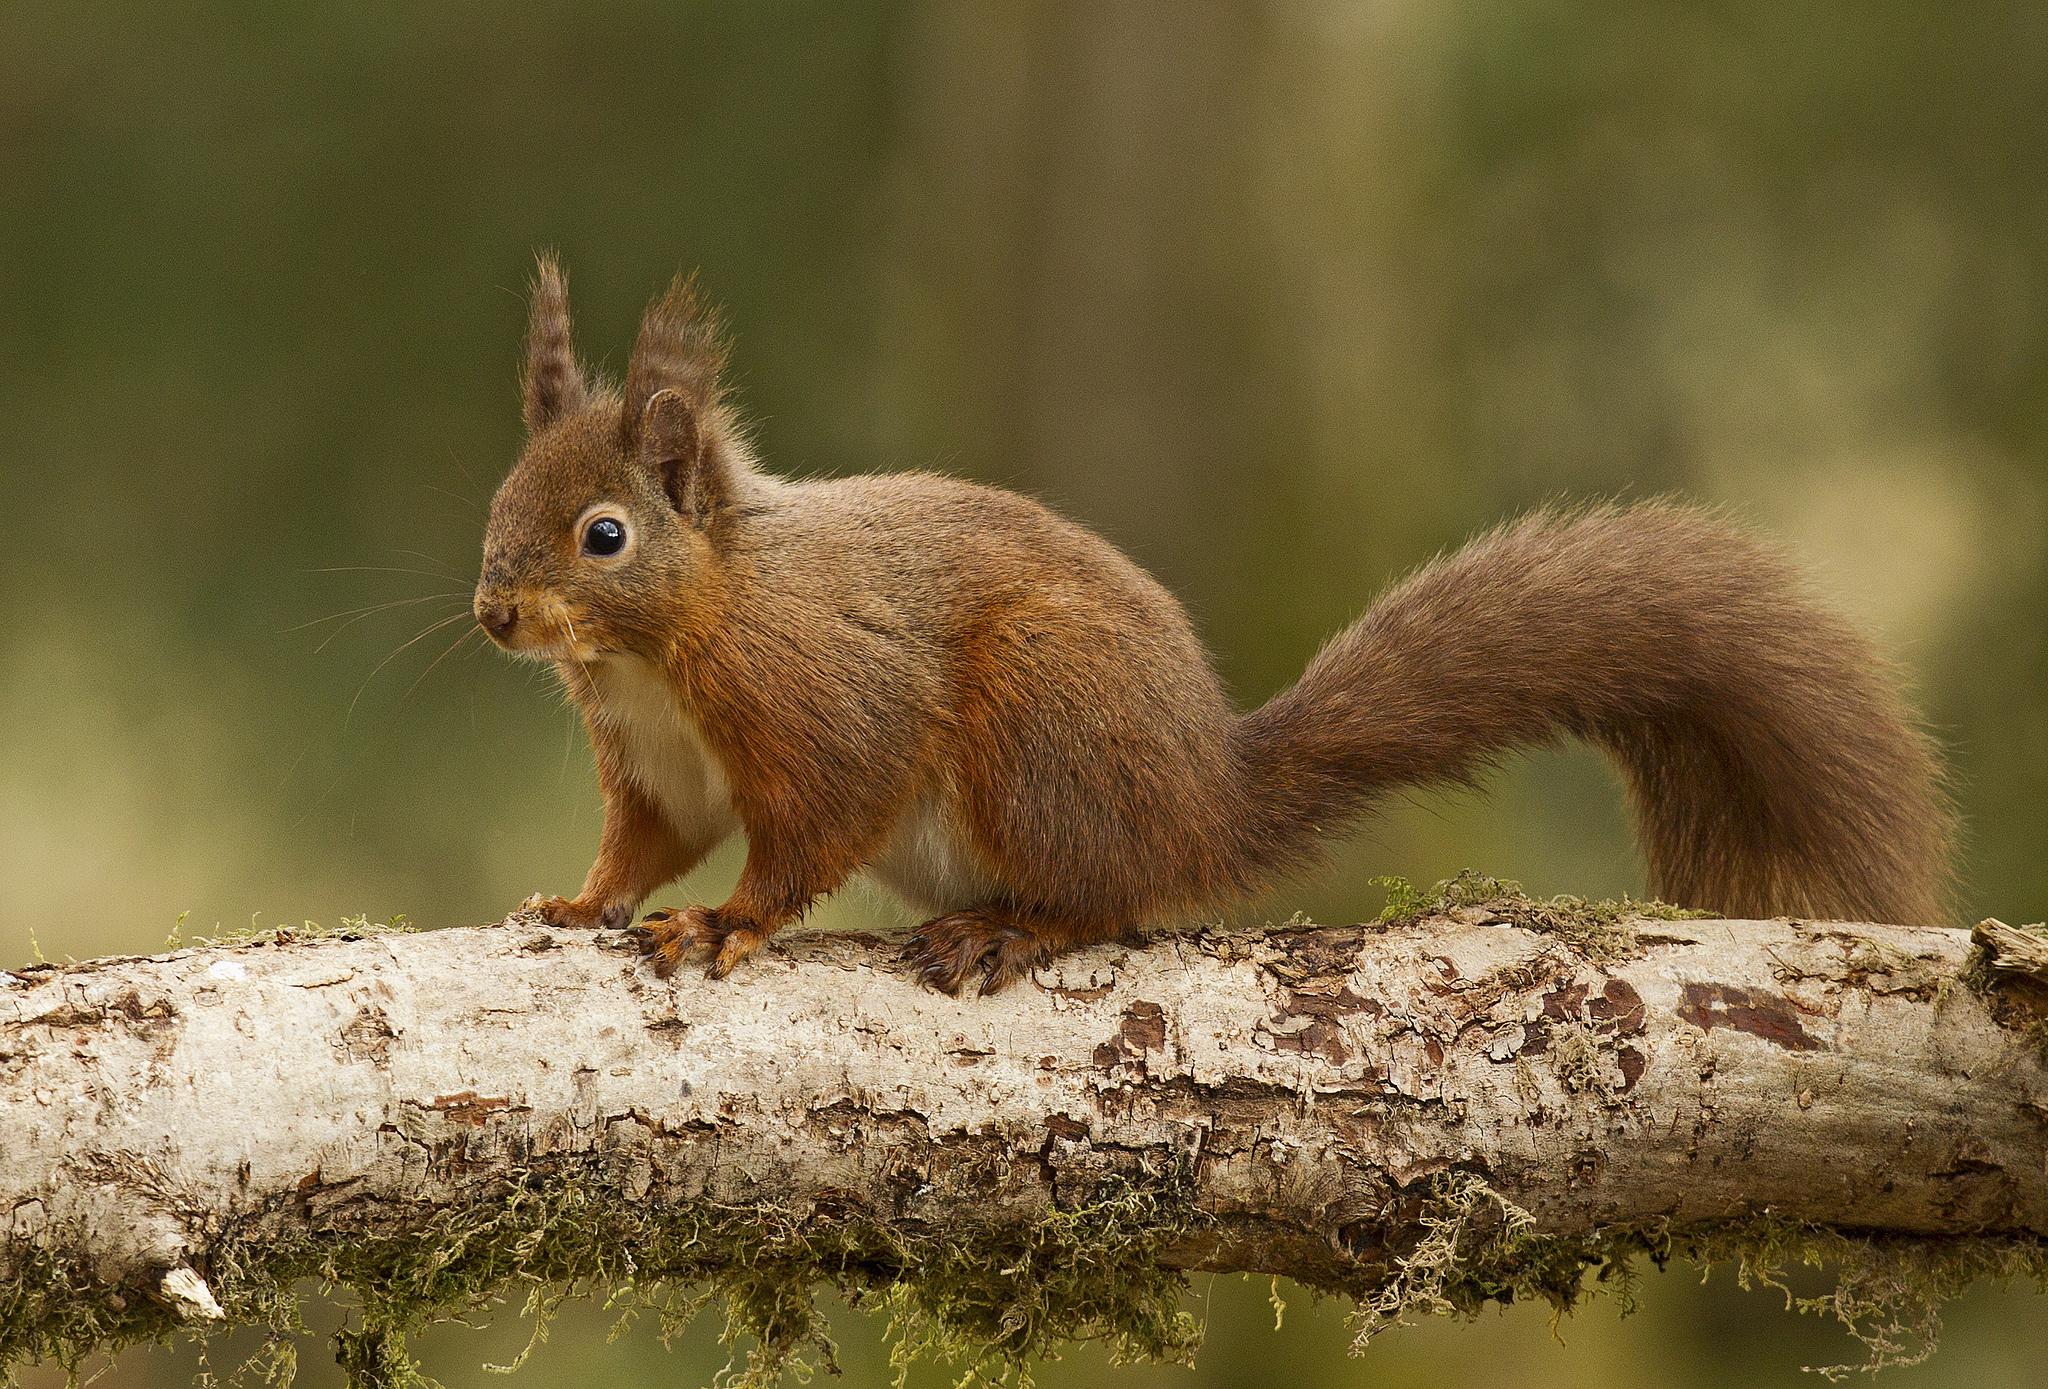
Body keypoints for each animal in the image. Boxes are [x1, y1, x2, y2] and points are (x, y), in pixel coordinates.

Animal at [475, 258, 1949, 999]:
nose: (494, 615)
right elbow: (650, 839)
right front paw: (581, 900)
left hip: (1042, 726)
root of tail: (1205, 797)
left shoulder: (821, 694)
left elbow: (813, 821)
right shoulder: (655, 760)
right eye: (498, 500)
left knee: (1109, 897)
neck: (659, 650)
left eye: (604, 535)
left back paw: (1012, 930)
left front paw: (727, 926)